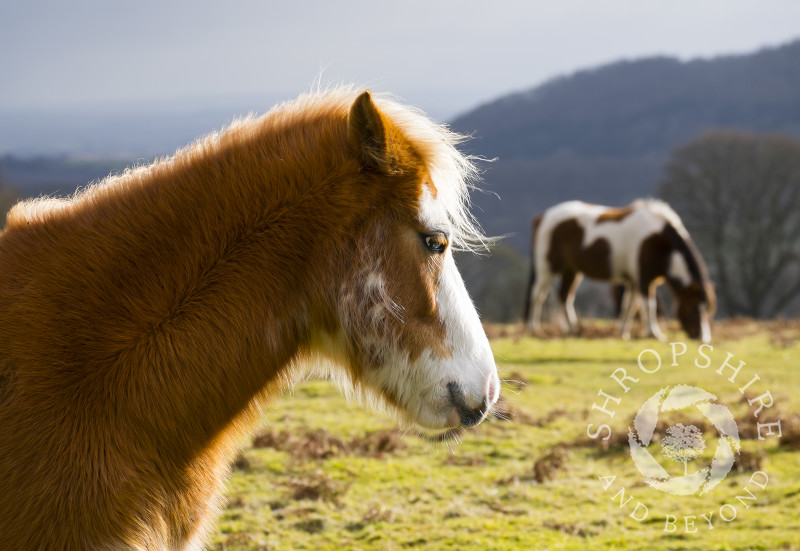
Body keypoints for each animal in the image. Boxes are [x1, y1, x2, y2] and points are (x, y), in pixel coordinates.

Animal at [520, 201, 716, 342]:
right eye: (693, 308)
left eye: (706, 310)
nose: (703, 338)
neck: (661, 243)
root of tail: (542, 217)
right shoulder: (644, 277)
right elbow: (648, 305)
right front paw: (654, 333)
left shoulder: (634, 280)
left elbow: (630, 305)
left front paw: (624, 332)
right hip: (547, 267)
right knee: (538, 295)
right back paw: (533, 328)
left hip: (571, 269)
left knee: (564, 295)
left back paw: (572, 328)